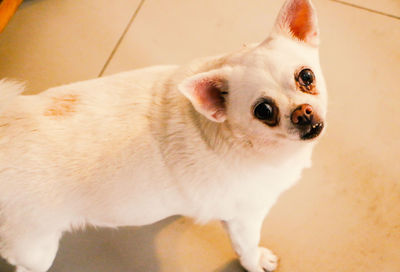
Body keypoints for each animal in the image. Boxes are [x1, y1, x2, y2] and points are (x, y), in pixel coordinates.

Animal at [0, 0, 324, 270]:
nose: (302, 112)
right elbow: (247, 249)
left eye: (307, 77)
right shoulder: (243, 219)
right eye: (264, 111)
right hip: (36, 248)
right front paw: (257, 261)